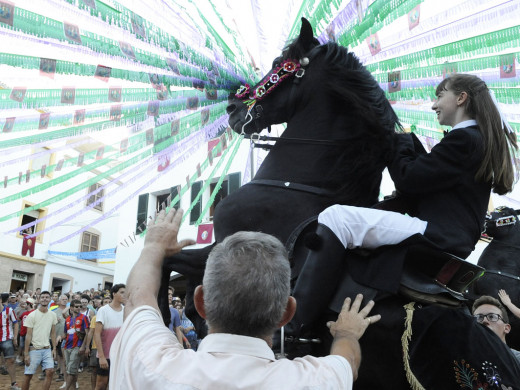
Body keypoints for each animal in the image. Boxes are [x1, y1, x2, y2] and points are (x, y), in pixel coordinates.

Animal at [161, 17, 520, 386]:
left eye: (278, 65)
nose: (233, 108)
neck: (298, 184)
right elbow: (172, 270)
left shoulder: (228, 247)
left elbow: (171, 267)